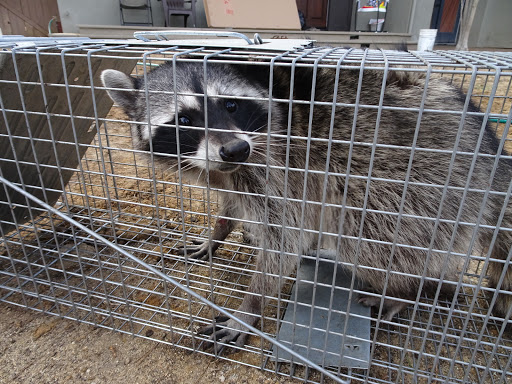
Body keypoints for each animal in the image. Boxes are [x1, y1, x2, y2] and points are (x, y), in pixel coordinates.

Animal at [101, 56, 512, 348]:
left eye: (231, 106)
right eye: (184, 119)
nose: (235, 149)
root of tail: (489, 152)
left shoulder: (280, 162)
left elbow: (285, 239)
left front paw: (250, 306)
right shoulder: (229, 171)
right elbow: (232, 203)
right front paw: (218, 231)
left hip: (417, 177)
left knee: (373, 240)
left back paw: (409, 290)